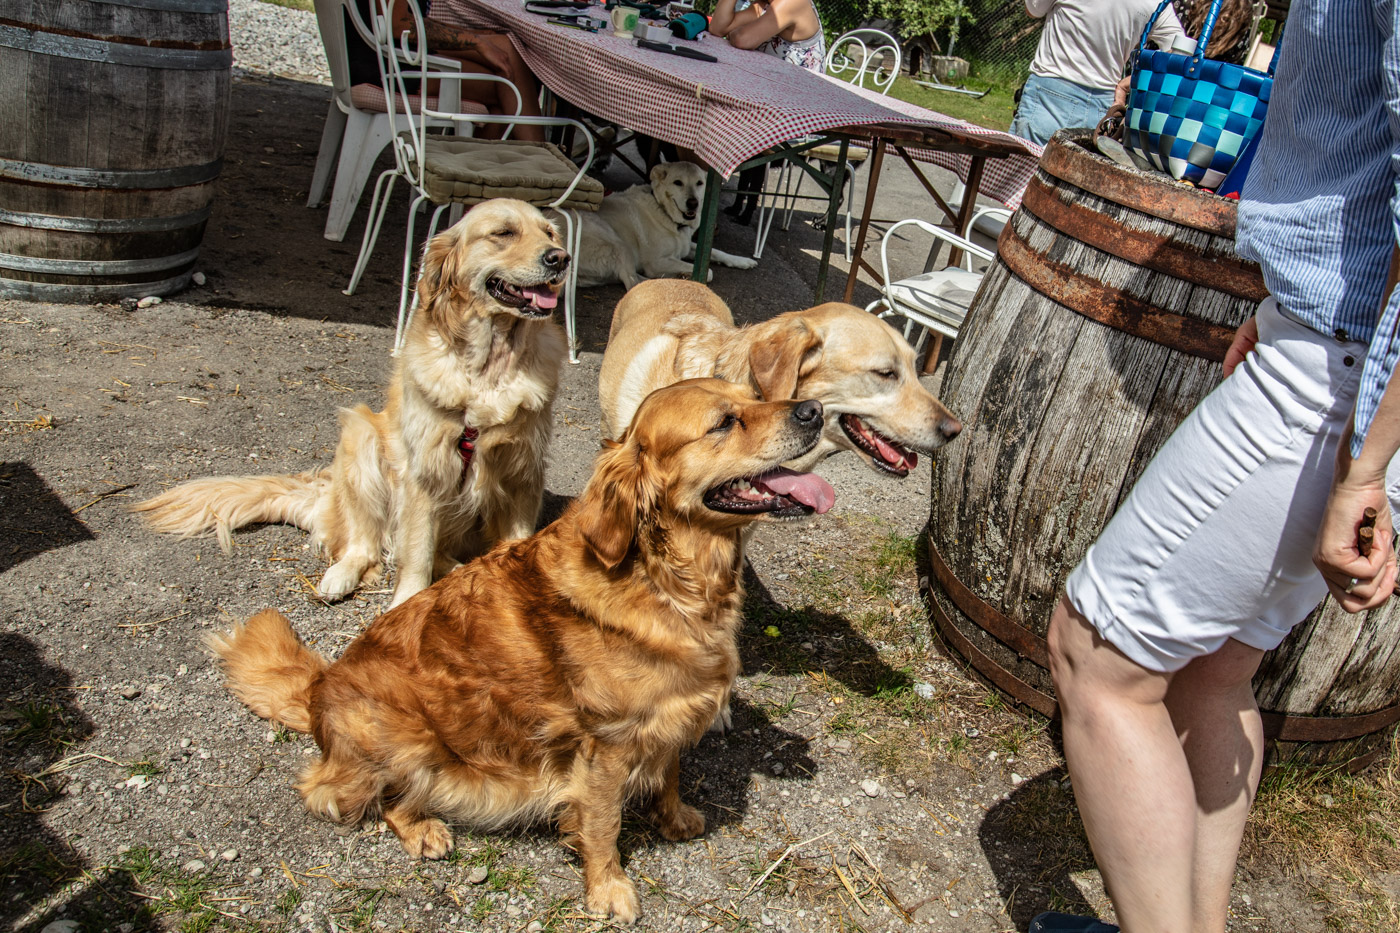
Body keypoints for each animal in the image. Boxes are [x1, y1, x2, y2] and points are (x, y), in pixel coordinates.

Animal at [132, 197, 568, 602]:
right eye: (503, 233)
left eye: (549, 233)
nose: (560, 259)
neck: (489, 369)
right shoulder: (423, 474)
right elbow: (416, 555)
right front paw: (404, 604)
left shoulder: (522, 471)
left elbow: (514, 542)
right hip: (361, 440)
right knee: (366, 543)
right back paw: (341, 576)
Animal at [210, 381, 828, 924]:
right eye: (724, 422)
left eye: (756, 394)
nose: (815, 411)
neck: (666, 580)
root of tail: (318, 689)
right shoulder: (605, 746)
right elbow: (602, 824)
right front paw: (608, 888)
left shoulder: (670, 713)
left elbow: (671, 771)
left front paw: (673, 817)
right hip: (408, 737)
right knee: (360, 795)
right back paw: (423, 828)